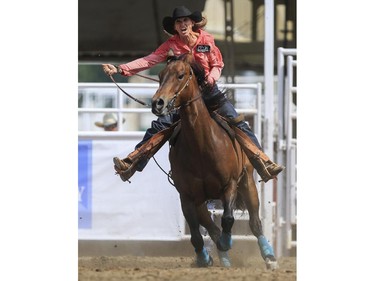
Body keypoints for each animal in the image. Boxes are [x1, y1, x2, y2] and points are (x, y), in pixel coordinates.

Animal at [151, 52, 278, 270]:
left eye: (180, 75)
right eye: (160, 76)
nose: (157, 103)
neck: (202, 145)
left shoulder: (230, 184)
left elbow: (227, 218)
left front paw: (226, 243)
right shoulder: (186, 195)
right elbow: (195, 233)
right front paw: (204, 258)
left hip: (248, 183)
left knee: (254, 222)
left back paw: (268, 257)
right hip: (201, 200)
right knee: (210, 227)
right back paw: (221, 257)